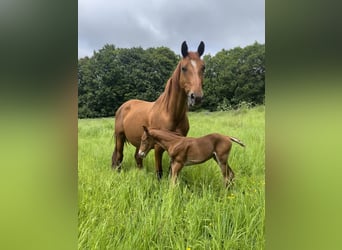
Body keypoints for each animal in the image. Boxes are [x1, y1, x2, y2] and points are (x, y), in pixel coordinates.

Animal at [111, 40, 206, 178]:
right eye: (184, 68)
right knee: (119, 156)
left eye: (203, 67)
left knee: (137, 158)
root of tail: (123, 107)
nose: (197, 97)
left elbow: (172, 171)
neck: (171, 113)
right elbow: (159, 172)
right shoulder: (158, 147)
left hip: (139, 141)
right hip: (120, 137)